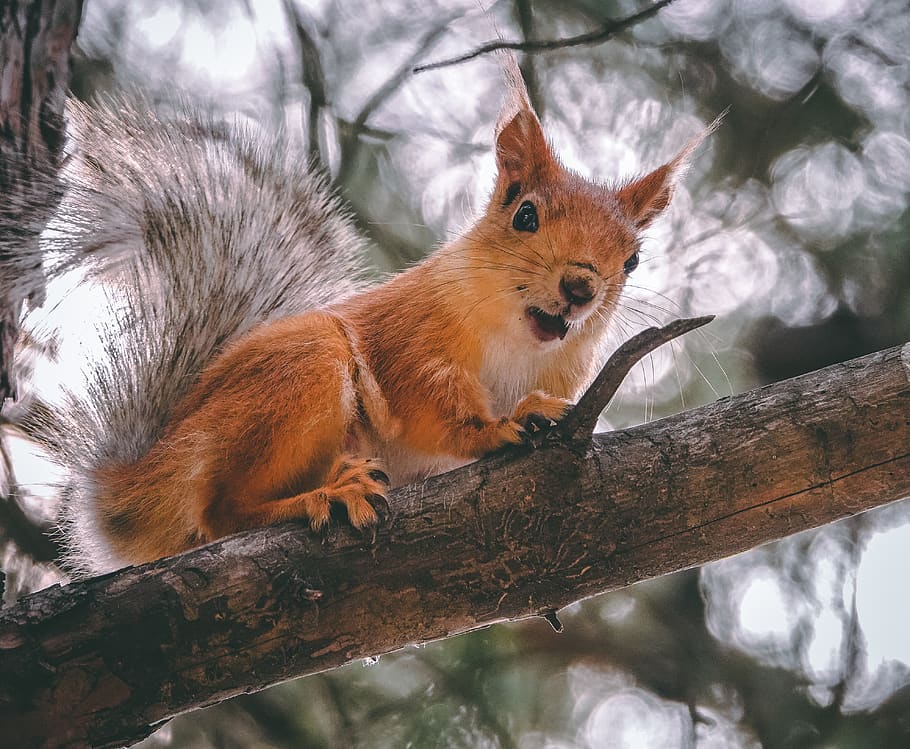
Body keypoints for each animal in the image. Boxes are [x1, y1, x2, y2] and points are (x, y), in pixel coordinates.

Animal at [34, 57, 704, 576]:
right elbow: (438, 413)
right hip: (300, 369)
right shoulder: (410, 341)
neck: (518, 341)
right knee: (220, 514)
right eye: (525, 215)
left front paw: (536, 409)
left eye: (633, 259)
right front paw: (500, 426)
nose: (580, 286)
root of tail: (148, 476)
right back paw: (327, 494)